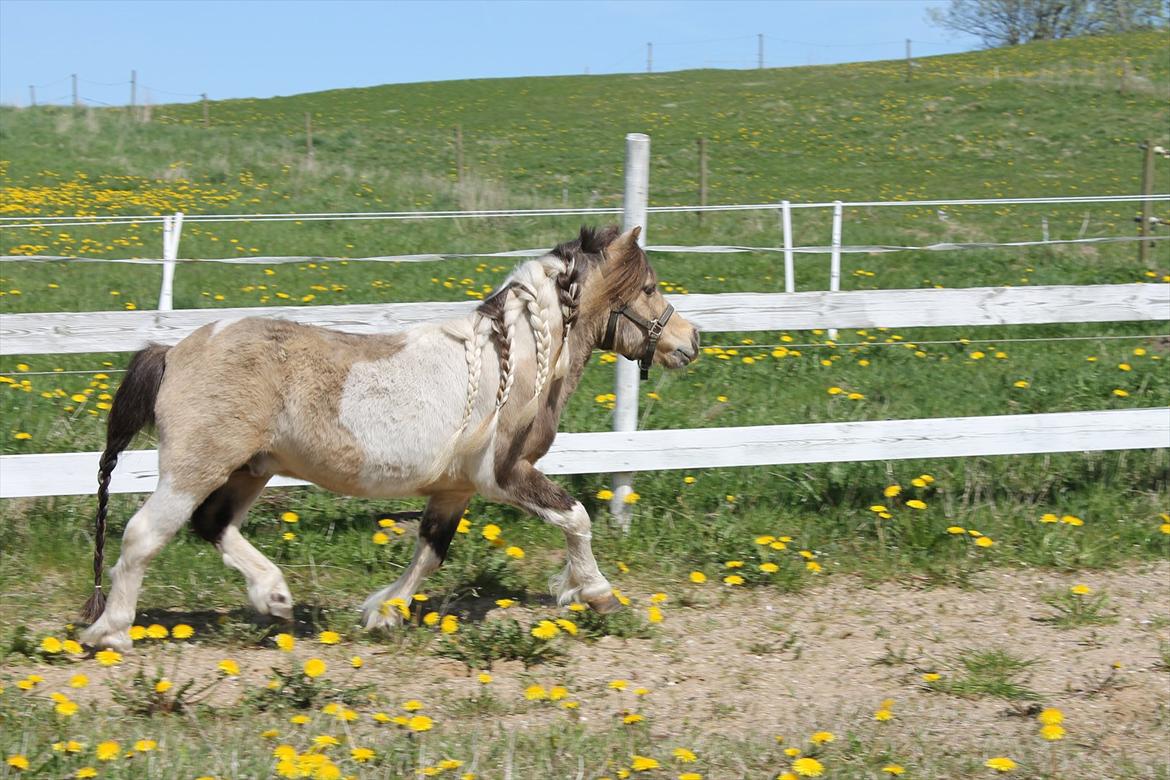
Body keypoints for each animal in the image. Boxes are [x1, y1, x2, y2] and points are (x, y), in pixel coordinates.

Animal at [84, 226, 702, 654]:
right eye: (649, 288)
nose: (691, 340)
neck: (517, 360)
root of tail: (173, 353)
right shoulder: (503, 475)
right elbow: (576, 517)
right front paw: (596, 594)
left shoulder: (455, 489)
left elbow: (430, 551)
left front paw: (382, 611)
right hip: (196, 467)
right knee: (144, 535)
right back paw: (110, 632)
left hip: (251, 468)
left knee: (212, 524)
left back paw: (275, 597)